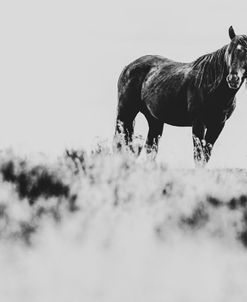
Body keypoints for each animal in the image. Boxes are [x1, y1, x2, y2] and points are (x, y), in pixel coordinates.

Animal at [113, 26, 247, 166]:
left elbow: (206, 155)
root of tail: (128, 67)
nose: (233, 79)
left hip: (154, 120)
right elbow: (198, 155)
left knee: (150, 148)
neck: (211, 85)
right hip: (125, 114)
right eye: (229, 52)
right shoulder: (198, 123)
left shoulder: (218, 124)